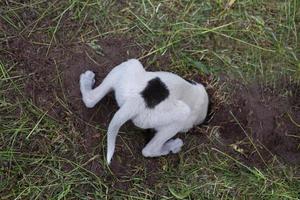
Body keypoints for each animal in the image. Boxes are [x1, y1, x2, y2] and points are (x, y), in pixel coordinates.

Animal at [79, 59, 209, 164]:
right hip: (181, 114)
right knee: (149, 150)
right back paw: (172, 146)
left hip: (129, 67)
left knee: (90, 99)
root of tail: (136, 100)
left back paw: (86, 81)